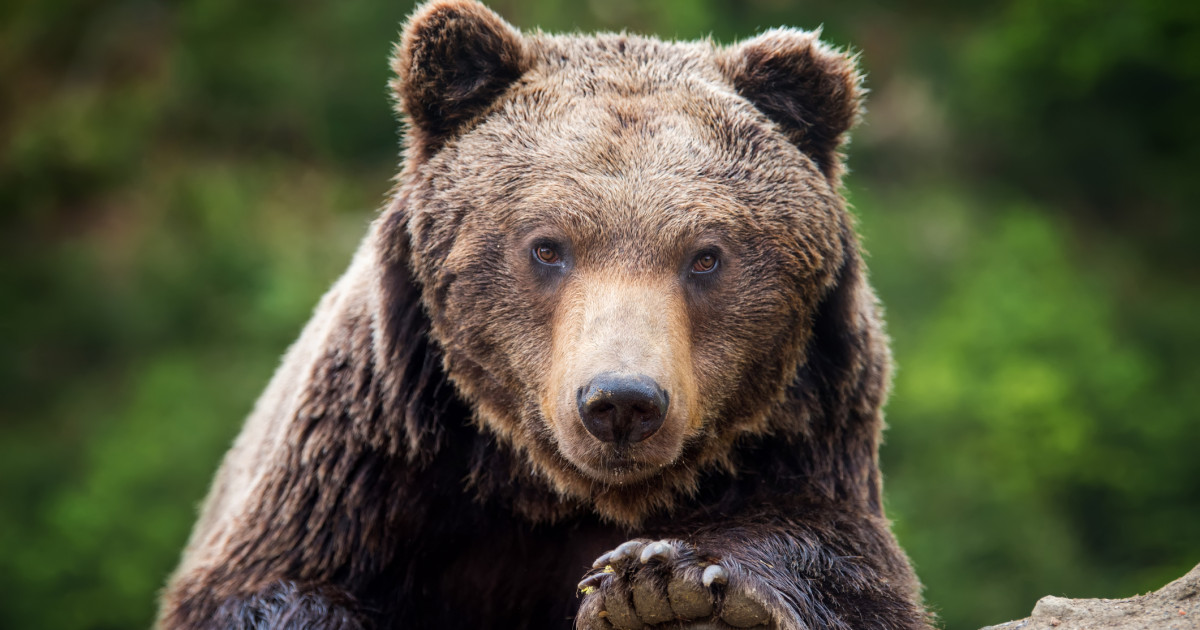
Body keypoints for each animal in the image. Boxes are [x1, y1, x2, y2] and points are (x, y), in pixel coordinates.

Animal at [157, 1, 926, 628]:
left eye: (706, 256)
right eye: (547, 246)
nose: (622, 401)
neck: (550, 494)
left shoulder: (804, 443)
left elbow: (846, 569)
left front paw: (668, 589)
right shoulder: (368, 467)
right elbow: (266, 588)